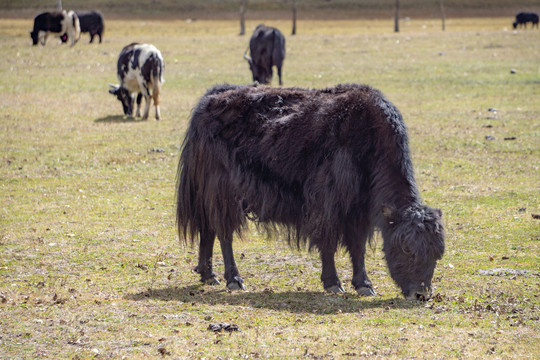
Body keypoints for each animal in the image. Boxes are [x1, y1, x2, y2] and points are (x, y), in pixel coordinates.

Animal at [178, 83, 448, 300]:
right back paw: (233, 279)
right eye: (407, 249)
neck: (369, 137)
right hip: (221, 191)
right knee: (224, 233)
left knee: (208, 230)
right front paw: (333, 284)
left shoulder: (359, 209)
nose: (421, 294)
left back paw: (208, 275)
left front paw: (364, 285)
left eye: (438, 253)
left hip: (205, 193)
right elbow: (328, 241)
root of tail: (210, 98)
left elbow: (358, 247)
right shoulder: (328, 202)